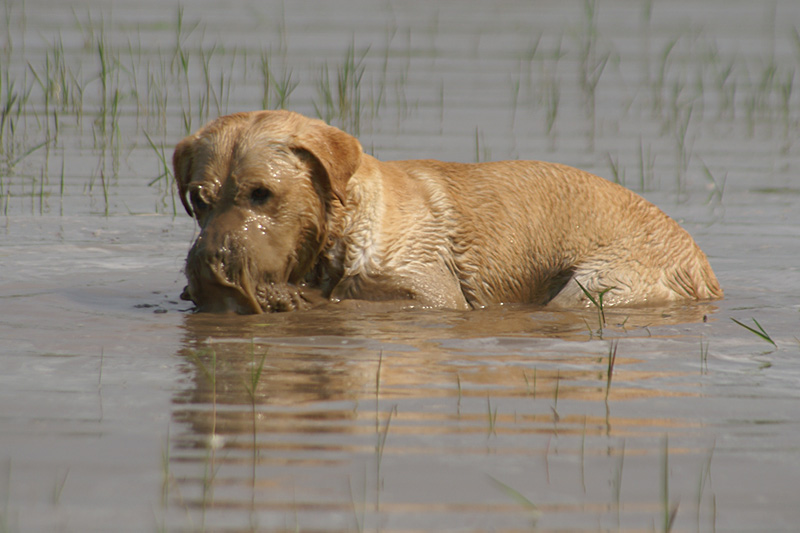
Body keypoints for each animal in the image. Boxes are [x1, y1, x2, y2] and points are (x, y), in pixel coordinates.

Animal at [172, 110, 720, 314]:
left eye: (261, 193)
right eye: (198, 200)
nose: (212, 267)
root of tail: (704, 266)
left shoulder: (432, 295)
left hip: (594, 288)